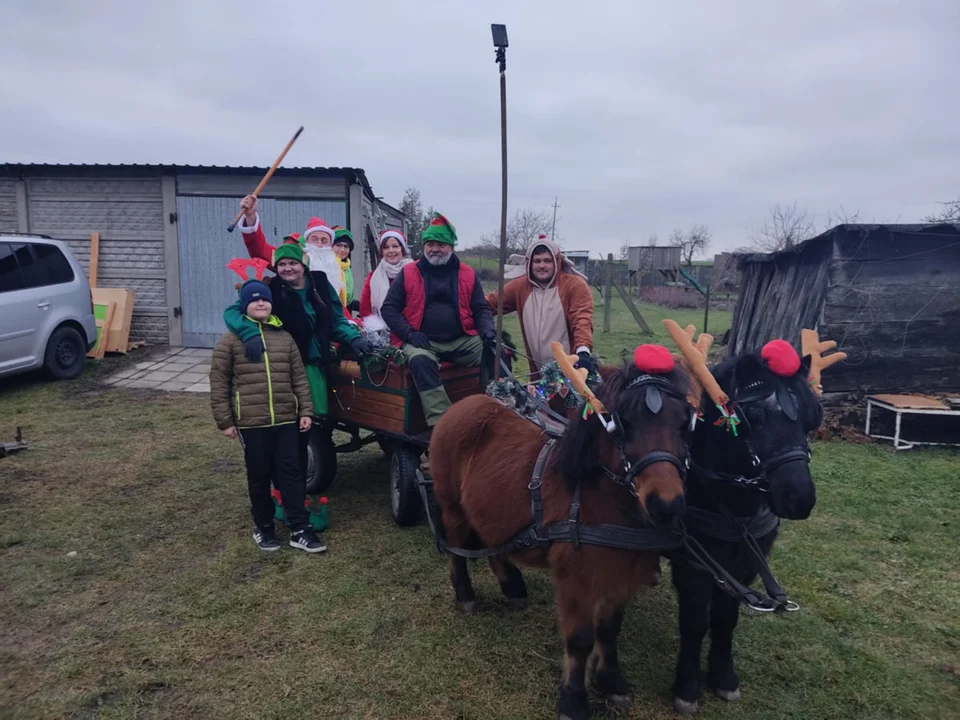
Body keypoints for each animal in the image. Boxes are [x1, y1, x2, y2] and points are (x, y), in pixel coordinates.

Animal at [432, 360, 692, 720]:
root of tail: (462, 404)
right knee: (457, 551)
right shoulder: (577, 579)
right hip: (452, 507)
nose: (666, 505)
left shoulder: (622, 576)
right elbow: (581, 639)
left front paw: (611, 682)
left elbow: (609, 630)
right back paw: (466, 595)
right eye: (624, 424)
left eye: (684, 424)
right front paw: (573, 699)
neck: (598, 499)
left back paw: (512, 586)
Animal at [668, 348, 824, 716]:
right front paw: (687, 686)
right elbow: (694, 621)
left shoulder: (745, 565)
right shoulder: (692, 565)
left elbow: (726, 618)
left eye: (812, 416)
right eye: (754, 415)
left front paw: (724, 677)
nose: (800, 498)